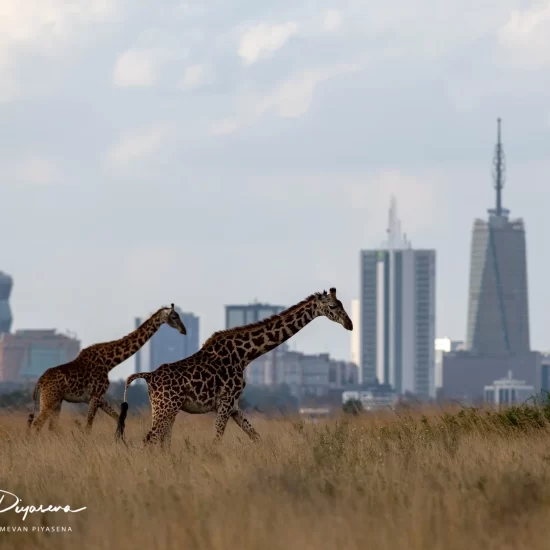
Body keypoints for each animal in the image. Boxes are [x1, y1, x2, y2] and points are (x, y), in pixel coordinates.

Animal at [27, 306, 188, 436]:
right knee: (36, 425)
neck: (109, 362)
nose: (184, 330)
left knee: (51, 427)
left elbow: (119, 419)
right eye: (174, 316)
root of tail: (40, 381)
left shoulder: (100, 398)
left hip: (56, 401)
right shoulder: (95, 396)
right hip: (49, 400)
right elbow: (88, 427)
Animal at [116, 288, 354, 448]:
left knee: (161, 442)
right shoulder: (224, 402)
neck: (245, 355)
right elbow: (216, 442)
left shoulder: (233, 405)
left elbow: (257, 437)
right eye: (333, 306)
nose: (349, 324)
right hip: (166, 407)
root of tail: (148, 376)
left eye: (342, 303)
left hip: (163, 408)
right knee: (150, 439)